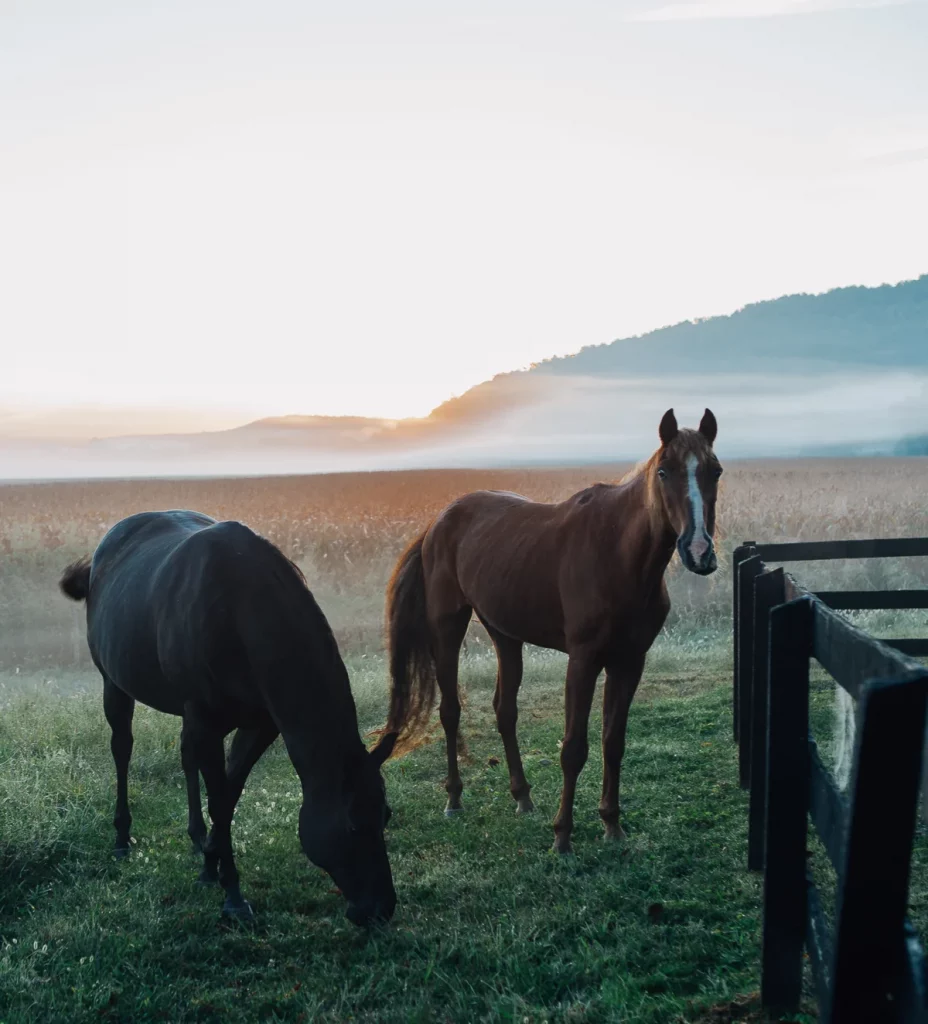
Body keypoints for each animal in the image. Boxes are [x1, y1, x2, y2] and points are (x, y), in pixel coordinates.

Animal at [60, 507, 393, 925]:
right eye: (351, 826)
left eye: (386, 816)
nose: (381, 908)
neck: (241, 614)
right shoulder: (207, 722)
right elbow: (219, 798)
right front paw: (232, 894)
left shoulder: (258, 725)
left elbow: (229, 795)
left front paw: (211, 863)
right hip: (115, 685)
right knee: (122, 749)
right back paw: (122, 838)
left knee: (186, 756)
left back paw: (196, 837)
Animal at [378, 403, 721, 851]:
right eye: (664, 471)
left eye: (715, 471)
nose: (698, 551)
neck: (618, 555)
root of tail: (438, 521)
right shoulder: (583, 660)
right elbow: (573, 748)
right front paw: (563, 836)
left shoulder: (630, 661)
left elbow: (614, 742)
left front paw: (612, 825)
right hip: (447, 626)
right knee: (450, 711)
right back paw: (454, 798)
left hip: (505, 634)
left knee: (505, 711)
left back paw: (522, 797)